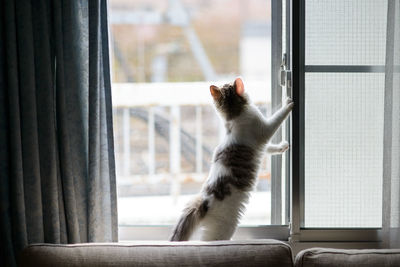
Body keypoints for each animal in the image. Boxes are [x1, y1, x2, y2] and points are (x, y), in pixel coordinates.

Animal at [169, 78, 294, 243]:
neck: (235, 116)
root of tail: (204, 200)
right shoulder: (264, 129)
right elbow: (278, 117)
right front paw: (288, 104)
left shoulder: (260, 144)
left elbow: (269, 148)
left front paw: (282, 147)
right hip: (225, 227)